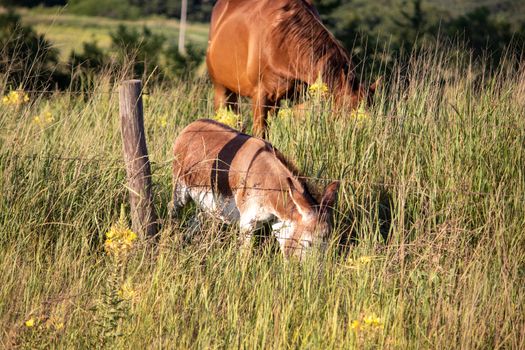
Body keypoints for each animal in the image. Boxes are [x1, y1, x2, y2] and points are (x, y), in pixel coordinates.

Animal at [170, 119, 338, 258]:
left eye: (328, 242)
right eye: (309, 243)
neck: (267, 180)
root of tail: (192, 125)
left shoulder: (277, 222)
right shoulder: (247, 223)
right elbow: (245, 255)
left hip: (210, 206)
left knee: (195, 220)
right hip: (181, 192)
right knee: (173, 209)